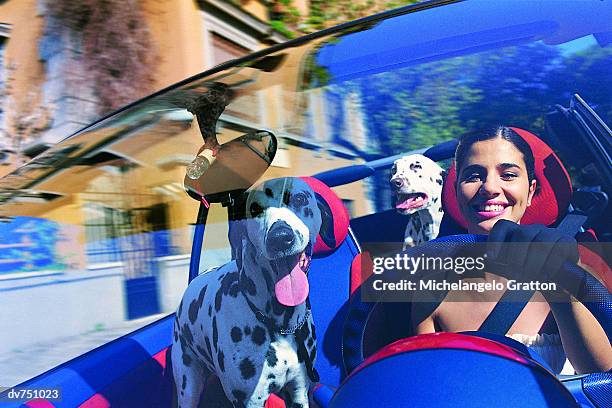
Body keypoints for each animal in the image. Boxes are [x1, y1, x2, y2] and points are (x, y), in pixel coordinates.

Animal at [170, 177, 318, 406]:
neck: (278, 324)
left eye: (300, 198)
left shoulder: (298, 392)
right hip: (188, 386)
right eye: (255, 209)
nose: (280, 237)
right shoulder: (250, 401)